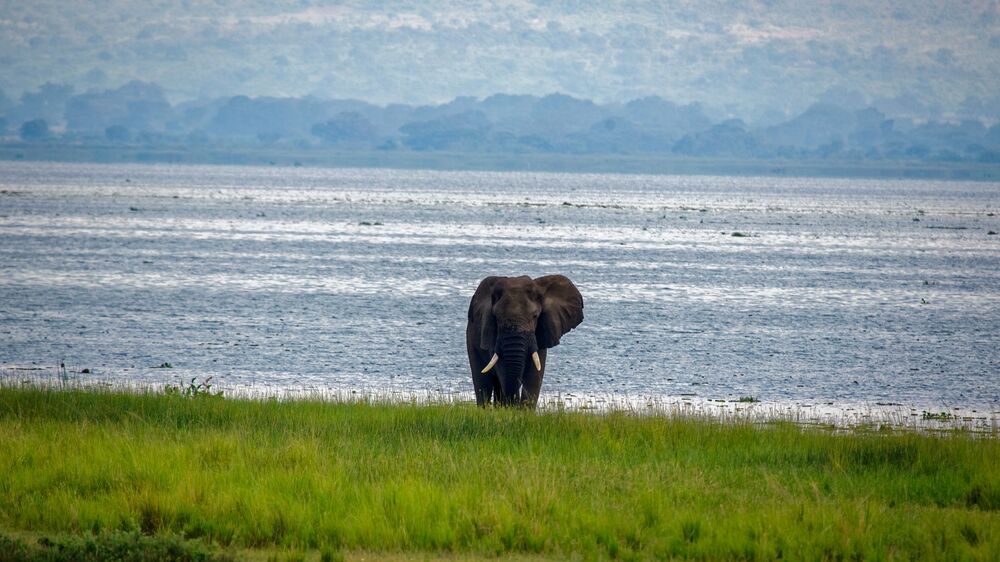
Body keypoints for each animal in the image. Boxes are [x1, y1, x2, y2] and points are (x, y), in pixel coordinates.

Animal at [466, 275, 584, 407]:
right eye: (496, 317)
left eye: (535, 316)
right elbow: (503, 369)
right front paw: (511, 408)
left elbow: (535, 373)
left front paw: (524, 410)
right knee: (483, 382)